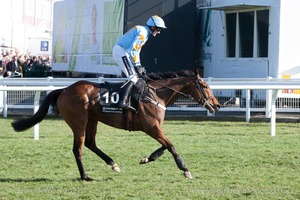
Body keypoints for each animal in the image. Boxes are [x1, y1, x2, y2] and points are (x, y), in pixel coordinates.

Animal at [11, 68, 220, 180]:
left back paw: (113, 164)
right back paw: (85, 176)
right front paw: (185, 170)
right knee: (78, 149)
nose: (217, 105)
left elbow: (165, 146)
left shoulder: (154, 128)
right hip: (79, 122)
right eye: (205, 86)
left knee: (91, 144)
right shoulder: (151, 127)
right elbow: (171, 145)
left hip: (92, 120)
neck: (156, 94)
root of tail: (64, 90)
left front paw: (147, 158)